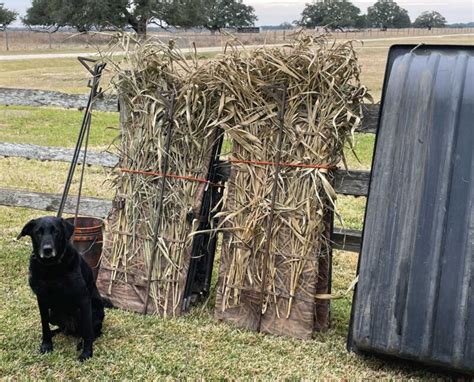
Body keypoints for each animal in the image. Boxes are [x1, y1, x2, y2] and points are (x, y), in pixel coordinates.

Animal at [18, 216, 104, 362]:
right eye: (38, 232)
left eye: (56, 232)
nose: (47, 250)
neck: (51, 267)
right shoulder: (41, 299)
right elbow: (44, 325)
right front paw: (46, 344)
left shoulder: (83, 300)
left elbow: (88, 331)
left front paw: (87, 353)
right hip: (53, 314)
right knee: (62, 329)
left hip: (92, 311)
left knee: (93, 331)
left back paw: (82, 342)